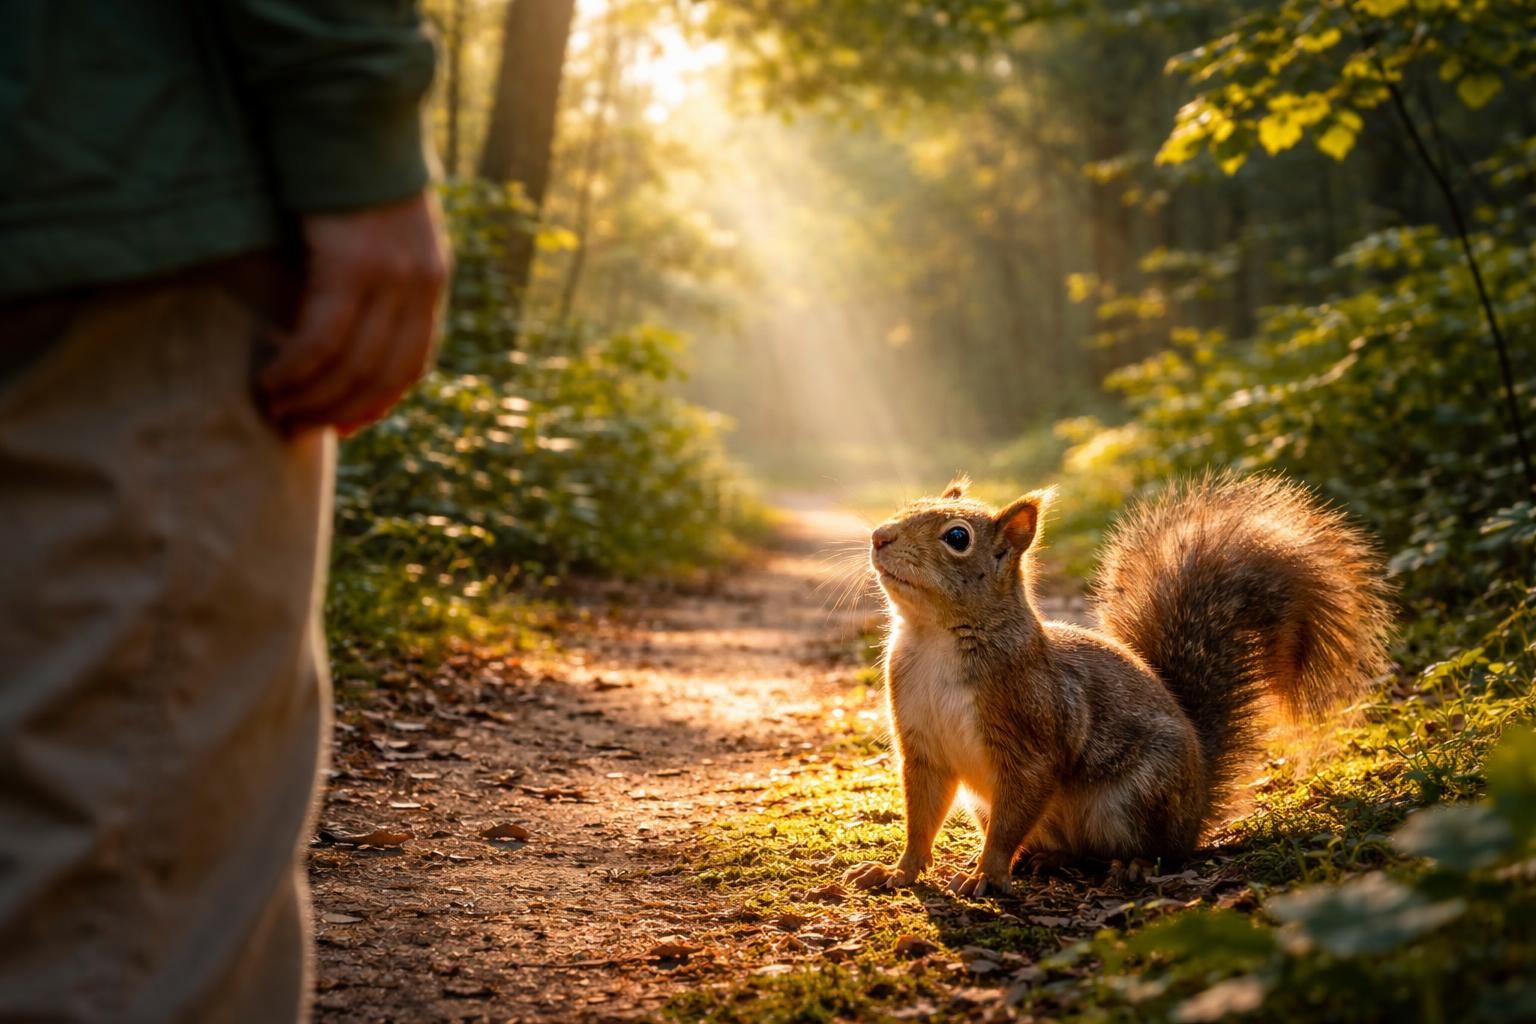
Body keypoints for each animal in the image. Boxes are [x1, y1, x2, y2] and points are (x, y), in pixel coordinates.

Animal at [843, 472, 1392, 897]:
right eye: (909, 507)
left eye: (957, 538)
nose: (879, 536)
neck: (934, 637)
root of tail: (1196, 809)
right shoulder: (922, 746)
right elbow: (921, 816)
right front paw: (898, 871)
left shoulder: (1031, 731)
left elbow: (1011, 816)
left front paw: (987, 874)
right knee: (1071, 850)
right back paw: (1046, 860)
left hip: (1138, 799)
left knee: (1158, 852)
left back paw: (1133, 864)